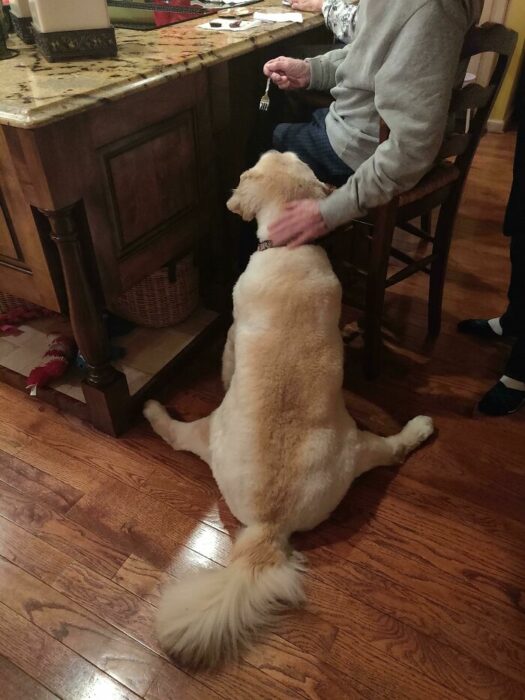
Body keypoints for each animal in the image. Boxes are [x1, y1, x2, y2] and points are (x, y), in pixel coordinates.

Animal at [141, 152, 432, 668]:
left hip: (211, 430)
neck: (287, 249)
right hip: (355, 447)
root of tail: (268, 527)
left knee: (175, 435)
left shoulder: (231, 333)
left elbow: (227, 360)